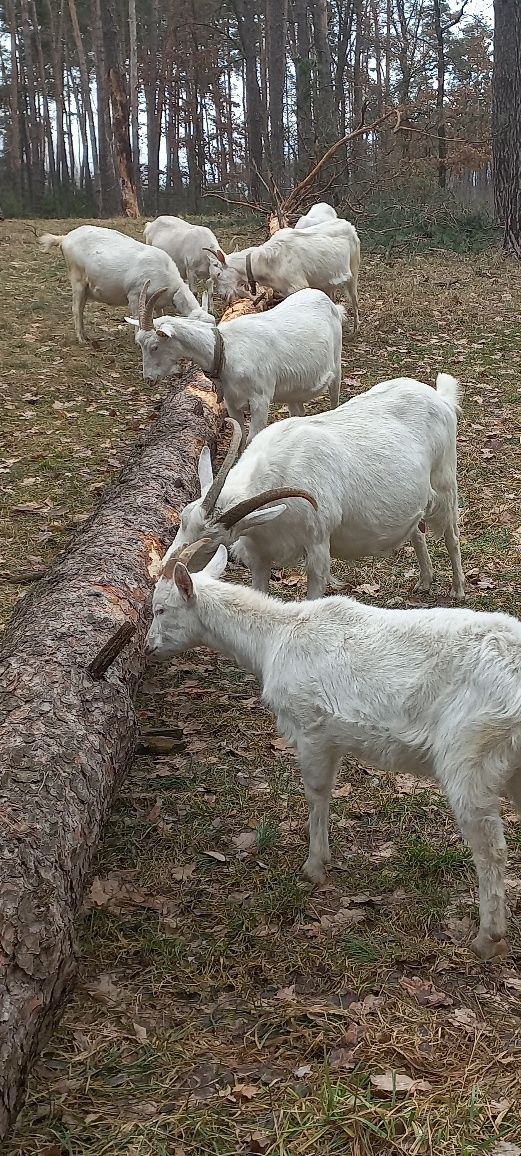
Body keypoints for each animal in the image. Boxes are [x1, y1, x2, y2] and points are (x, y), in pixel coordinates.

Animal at [38, 224, 213, 339]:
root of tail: (64, 238)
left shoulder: (157, 302)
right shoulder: (135, 294)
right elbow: (138, 317)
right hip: (77, 279)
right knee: (76, 309)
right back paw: (81, 338)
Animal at [128, 286, 344, 443]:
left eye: (155, 346)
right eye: (140, 344)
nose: (149, 379)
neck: (225, 350)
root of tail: (326, 299)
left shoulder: (260, 400)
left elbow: (251, 440)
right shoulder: (231, 403)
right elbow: (239, 440)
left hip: (336, 365)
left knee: (335, 397)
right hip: (293, 390)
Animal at [146, 541, 521, 966]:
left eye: (160, 609)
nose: (148, 647)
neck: (274, 639)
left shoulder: (311, 726)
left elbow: (317, 792)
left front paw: (314, 866)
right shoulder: (335, 737)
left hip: (472, 750)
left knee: (490, 848)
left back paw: (487, 938)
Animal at [165, 374, 466, 601]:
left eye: (211, 542)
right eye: (182, 520)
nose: (167, 569)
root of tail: (440, 399)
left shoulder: (318, 546)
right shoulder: (259, 553)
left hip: (445, 481)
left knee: (451, 534)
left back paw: (458, 589)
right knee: (417, 531)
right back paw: (424, 582)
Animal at [205, 220, 360, 332]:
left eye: (218, 273)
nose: (223, 295)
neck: (268, 261)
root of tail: (350, 226)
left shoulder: (298, 285)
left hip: (354, 269)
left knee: (354, 298)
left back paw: (356, 328)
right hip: (328, 280)